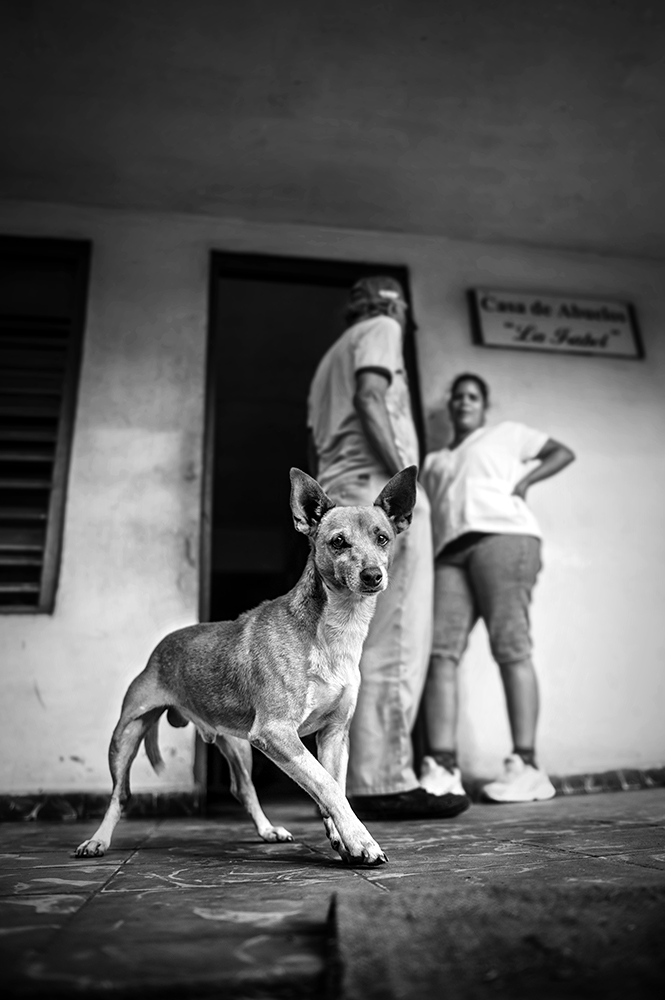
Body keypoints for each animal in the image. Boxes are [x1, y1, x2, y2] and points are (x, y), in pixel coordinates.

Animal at [75, 465, 417, 866]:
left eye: (382, 538)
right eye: (338, 542)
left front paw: (341, 837)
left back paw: (268, 830)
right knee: (121, 794)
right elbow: (326, 785)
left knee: (245, 789)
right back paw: (97, 841)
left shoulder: (333, 733)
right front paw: (361, 840)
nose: (372, 575)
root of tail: (162, 646)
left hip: (237, 744)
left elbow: (331, 785)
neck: (336, 630)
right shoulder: (274, 732)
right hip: (126, 735)